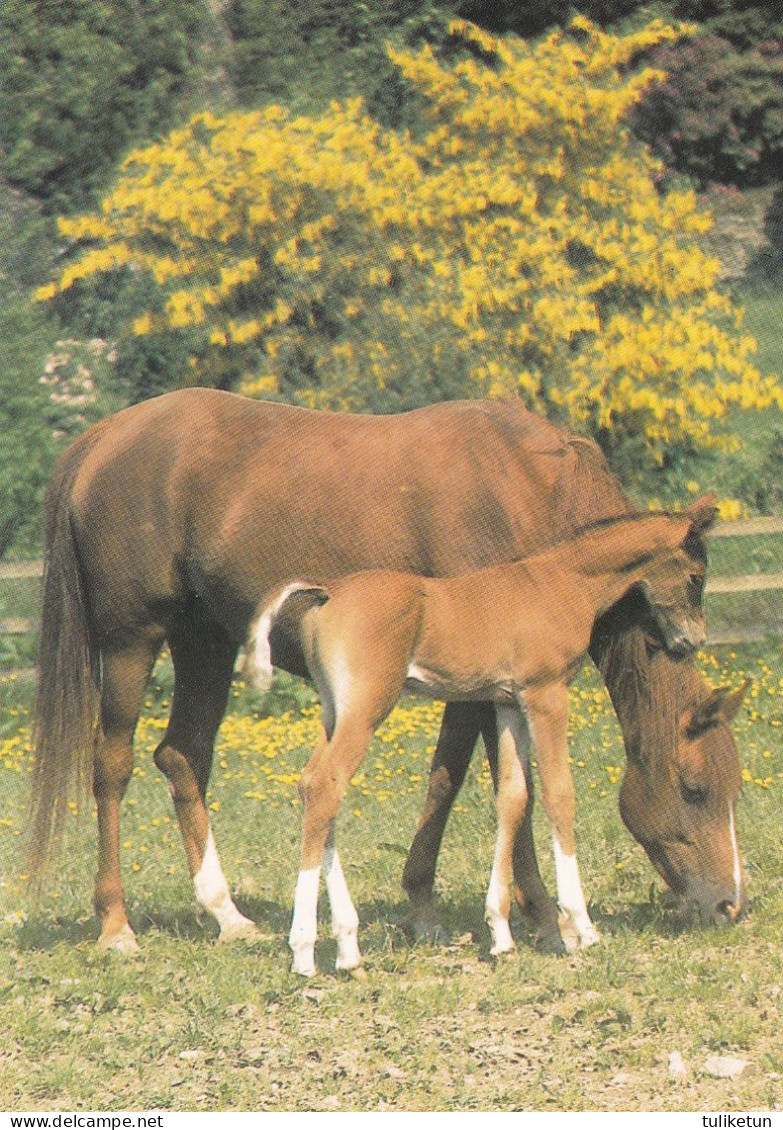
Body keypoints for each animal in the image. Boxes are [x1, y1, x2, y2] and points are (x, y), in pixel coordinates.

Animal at [246, 508, 714, 976]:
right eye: (696, 576)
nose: (694, 640)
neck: (564, 581)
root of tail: (326, 594)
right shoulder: (546, 696)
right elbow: (558, 795)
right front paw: (582, 928)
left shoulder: (506, 704)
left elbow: (513, 797)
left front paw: (501, 934)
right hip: (366, 710)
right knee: (325, 786)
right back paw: (305, 952)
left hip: (334, 711)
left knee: (316, 790)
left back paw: (347, 948)